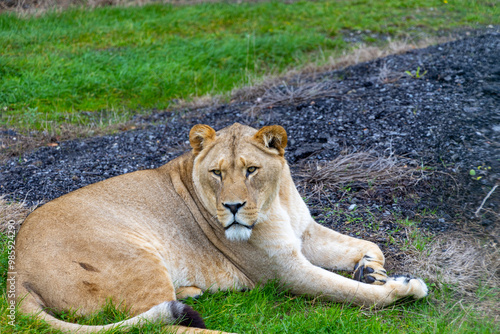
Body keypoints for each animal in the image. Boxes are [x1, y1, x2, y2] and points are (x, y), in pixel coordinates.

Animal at [12, 124, 426, 332]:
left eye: (251, 169)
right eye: (217, 173)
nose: (232, 207)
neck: (276, 201)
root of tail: (17, 277)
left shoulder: (304, 233)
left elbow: (370, 245)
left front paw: (370, 271)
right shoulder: (283, 272)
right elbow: (354, 294)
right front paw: (399, 288)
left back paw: (193, 291)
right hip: (134, 256)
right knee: (164, 327)